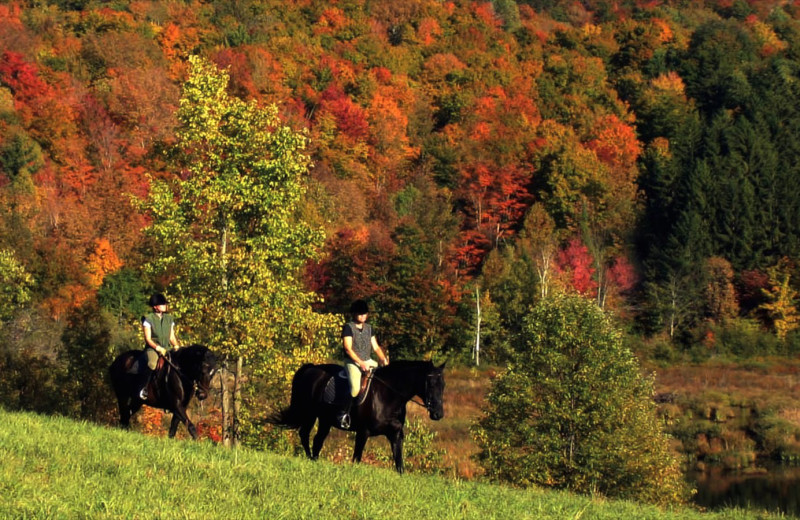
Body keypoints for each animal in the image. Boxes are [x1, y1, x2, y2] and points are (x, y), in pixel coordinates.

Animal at [268, 360, 444, 474]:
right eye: (431, 384)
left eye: (443, 386)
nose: (438, 414)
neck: (388, 395)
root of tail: (312, 368)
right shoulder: (363, 432)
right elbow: (357, 459)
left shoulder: (395, 435)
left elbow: (399, 463)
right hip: (310, 413)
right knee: (304, 434)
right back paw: (310, 458)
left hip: (325, 420)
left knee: (318, 440)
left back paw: (314, 460)